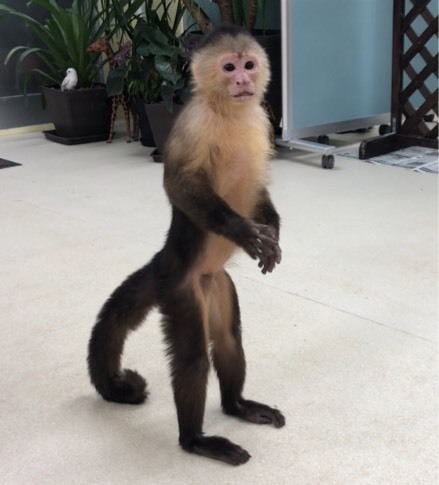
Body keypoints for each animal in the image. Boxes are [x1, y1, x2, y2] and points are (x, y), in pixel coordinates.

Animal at [88, 25, 284, 466]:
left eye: (249, 64)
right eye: (229, 68)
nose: (243, 81)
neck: (229, 113)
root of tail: (167, 257)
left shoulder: (263, 121)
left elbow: (259, 190)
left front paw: (274, 233)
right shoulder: (191, 124)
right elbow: (179, 185)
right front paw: (244, 232)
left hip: (217, 283)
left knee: (228, 338)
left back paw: (238, 406)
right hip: (180, 288)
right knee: (193, 357)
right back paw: (196, 440)